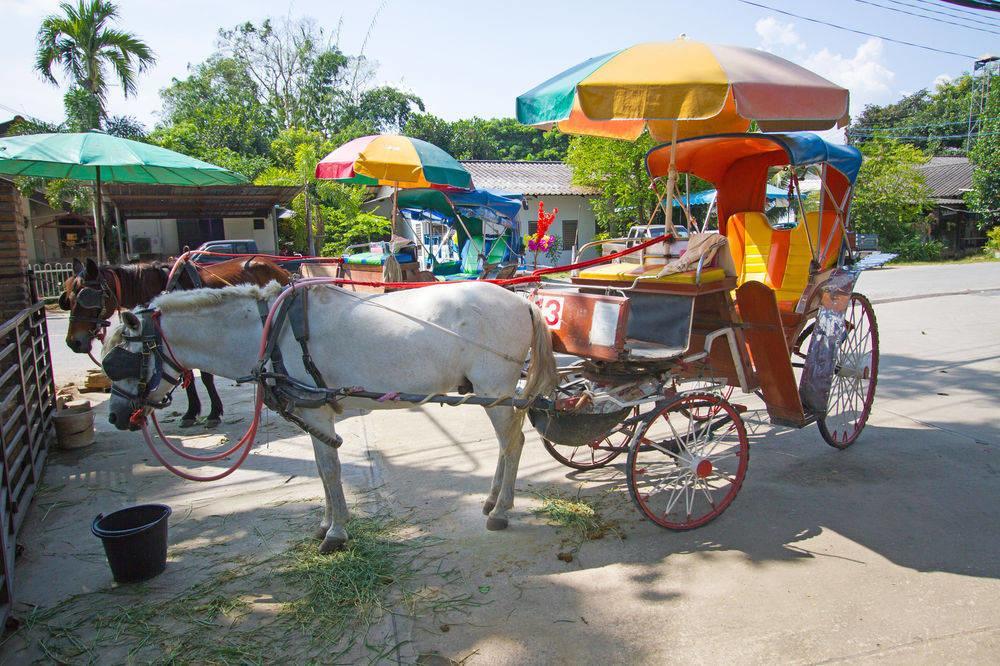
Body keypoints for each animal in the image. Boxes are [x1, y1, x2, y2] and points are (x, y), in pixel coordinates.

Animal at [60, 254, 290, 426]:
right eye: (68, 299)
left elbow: (203, 377)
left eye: (85, 297)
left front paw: (212, 413)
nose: (73, 342)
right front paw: (191, 412)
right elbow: (186, 376)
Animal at [105, 278, 560, 548]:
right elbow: (323, 472)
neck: (270, 333)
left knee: (513, 443)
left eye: (117, 362)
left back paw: (501, 510)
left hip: (495, 390)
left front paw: (336, 533)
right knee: (508, 443)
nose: (115, 417)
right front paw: (326, 525)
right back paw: (492, 500)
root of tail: (521, 301)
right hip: (490, 395)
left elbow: (330, 470)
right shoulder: (312, 417)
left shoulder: (319, 414)